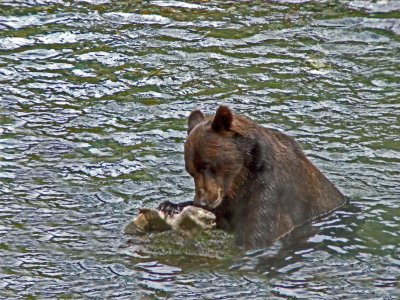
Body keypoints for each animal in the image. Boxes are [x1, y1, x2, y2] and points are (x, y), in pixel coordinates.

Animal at [159, 106, 346, 250]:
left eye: (205, 165)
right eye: (190, 171)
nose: (202, 202)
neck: (241, 177)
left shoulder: (270, 190)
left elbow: (258, 232)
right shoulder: (229, 198)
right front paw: (169, 206)